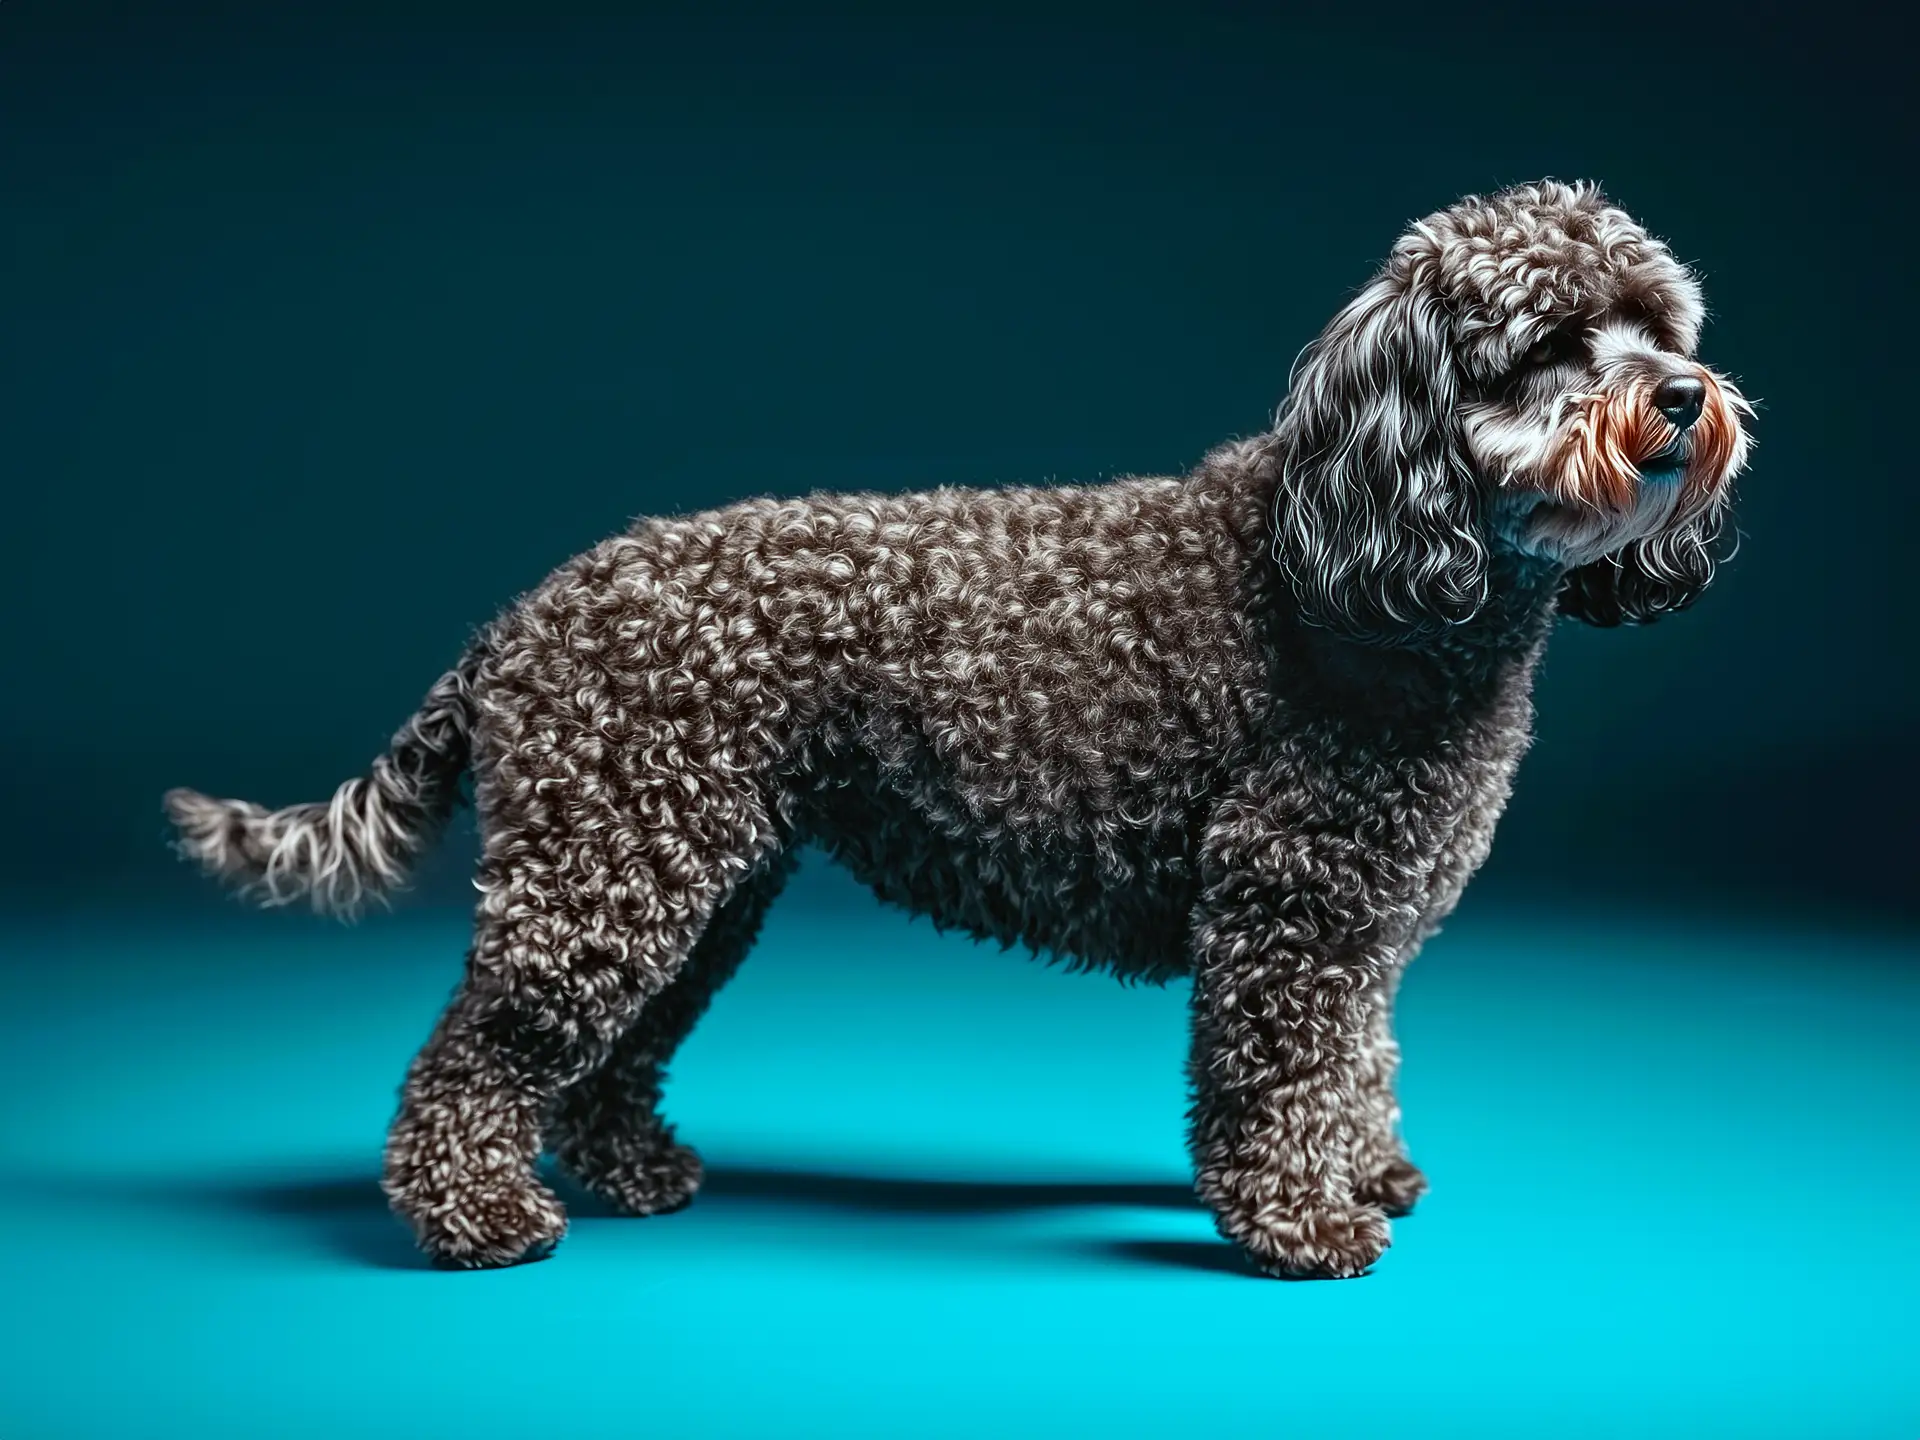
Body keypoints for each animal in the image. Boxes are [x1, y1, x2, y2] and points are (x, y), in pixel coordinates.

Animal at [168, 183, 1758, 1282]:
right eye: (1551, 343)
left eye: (1661, 329)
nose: (1687, 396)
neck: (1371, 549)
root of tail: (518, 617)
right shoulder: (1291, 910)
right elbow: (1279, 1076)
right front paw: (1303, 1223)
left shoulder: (1361, 926)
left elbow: (1358, 1063)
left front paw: (1367, 1173)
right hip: (607, 874)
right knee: (482, 1050)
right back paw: (477, 1215)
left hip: (700, 879)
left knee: (609, 1052)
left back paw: (630, 1171)